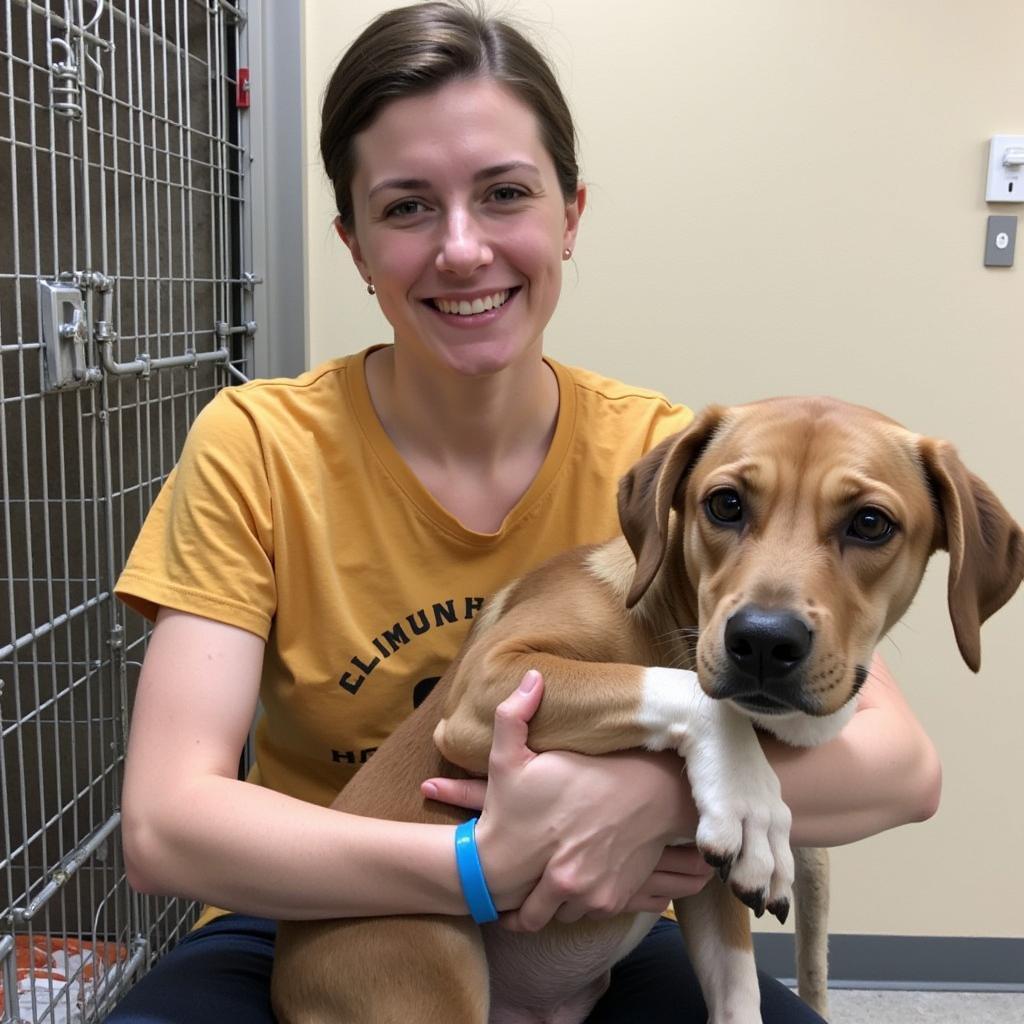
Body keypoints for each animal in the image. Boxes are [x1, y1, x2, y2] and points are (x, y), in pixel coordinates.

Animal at [268, 397, 1019, 1024]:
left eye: (870, 523)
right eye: (725, 504)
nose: (763, 641)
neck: (668, 615)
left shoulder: (713, 892)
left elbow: (739, 993)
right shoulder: (489, 683)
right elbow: (685, 693)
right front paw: (749, 797)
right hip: (426, 959)